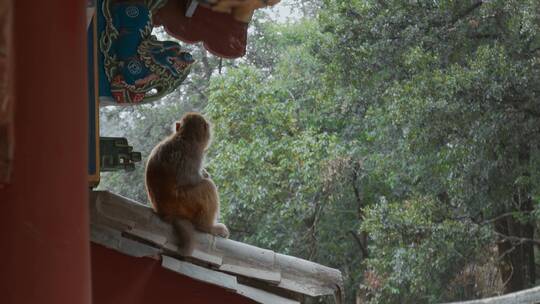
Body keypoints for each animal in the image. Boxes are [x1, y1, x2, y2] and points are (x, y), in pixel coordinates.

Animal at [144, 111, 229, 254]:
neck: (183, 136)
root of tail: (167, 214)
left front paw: (205, 172)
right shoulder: (195, 153)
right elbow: (192, 179)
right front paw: (205, 175)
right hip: (185, 202)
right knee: (207, 186)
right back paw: (206, 227)